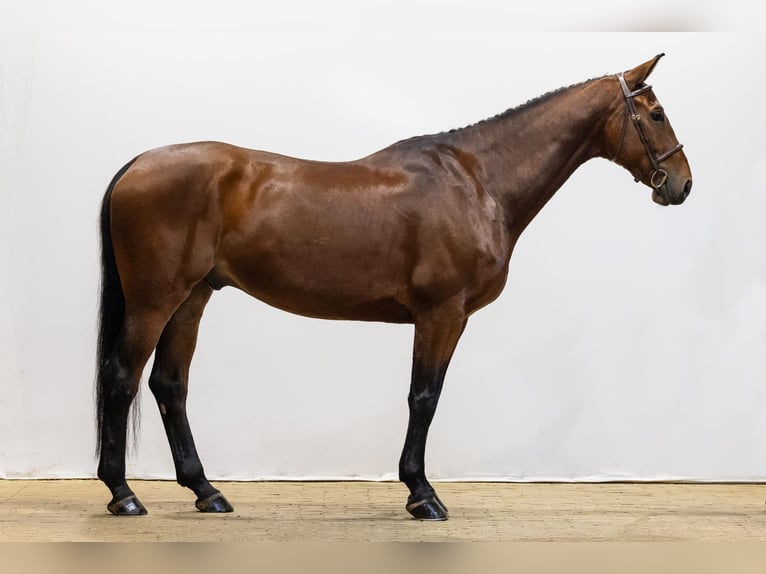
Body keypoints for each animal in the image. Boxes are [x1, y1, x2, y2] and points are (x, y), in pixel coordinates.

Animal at [95, 54, 692, 520]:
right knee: (122, 377)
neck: (478, 181)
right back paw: (123, 494)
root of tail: (138, 164)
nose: (683, 184)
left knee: (169, 384)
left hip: (192, 298)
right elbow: (424, 397)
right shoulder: (442, 313)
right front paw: (422, 495)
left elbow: (423, 396)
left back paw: (206, 491)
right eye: (656, 114)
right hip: (155, 300)